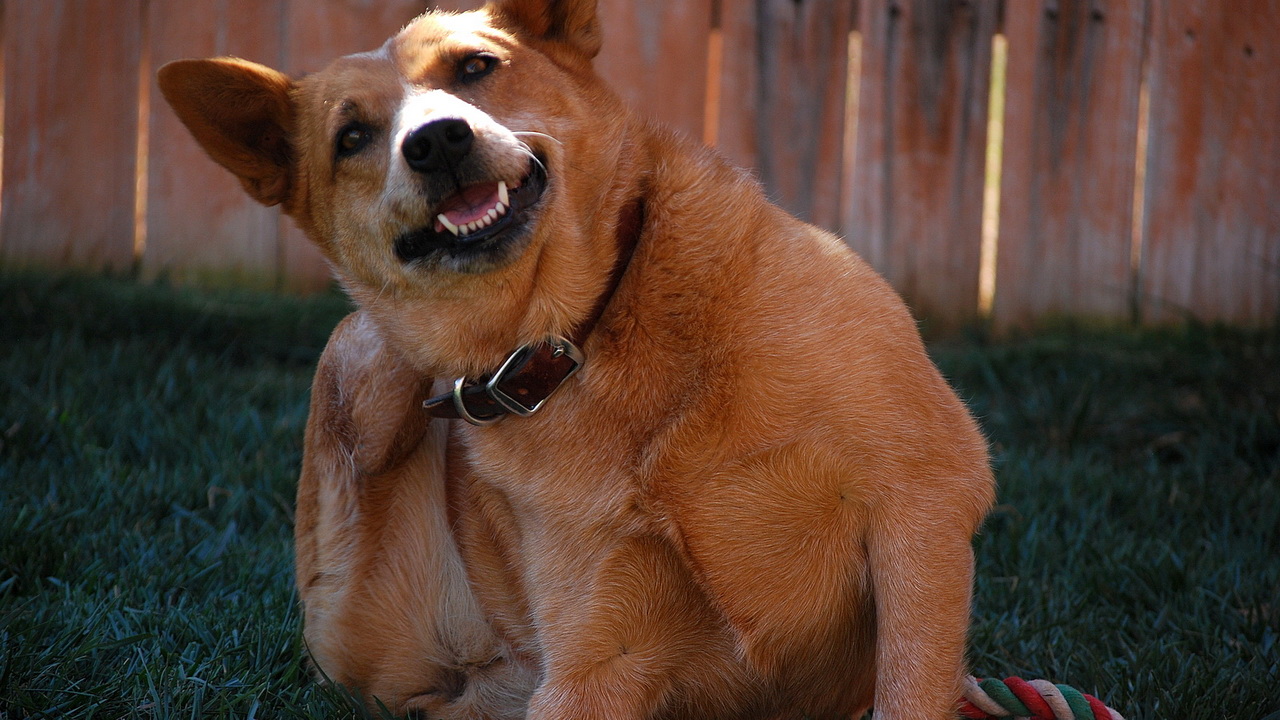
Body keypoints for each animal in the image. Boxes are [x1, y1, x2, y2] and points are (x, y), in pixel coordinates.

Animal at [160, 2, 993, 712]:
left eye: (475, 66)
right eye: (351, 137)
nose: (436, 140)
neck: (588, 335)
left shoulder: (921, 504)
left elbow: (911, 687)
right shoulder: (597, 657)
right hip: (358, 391)